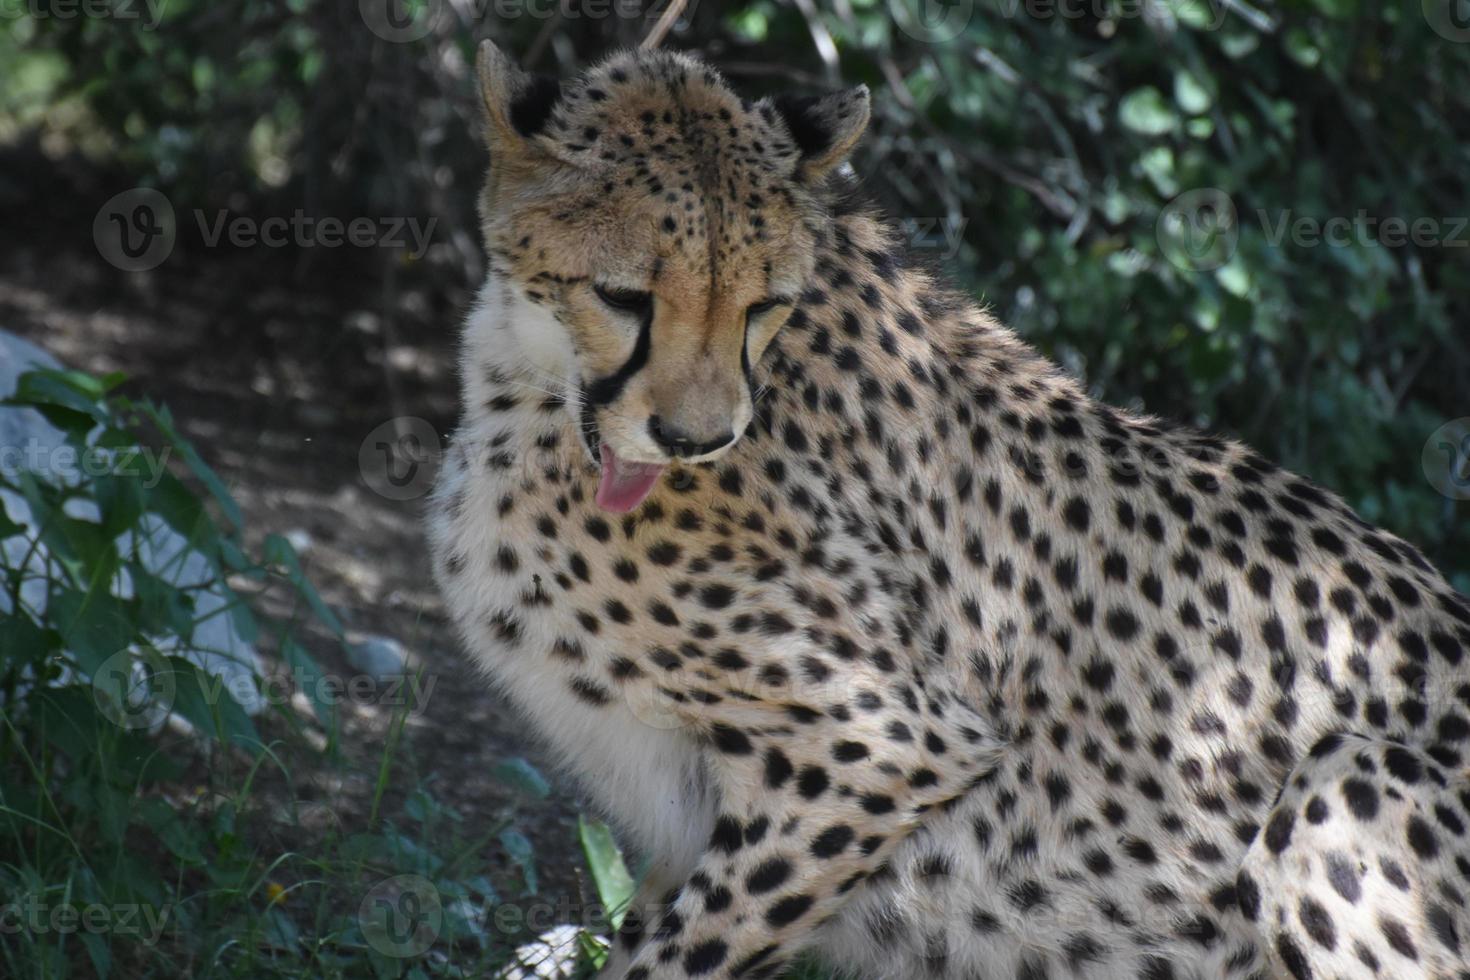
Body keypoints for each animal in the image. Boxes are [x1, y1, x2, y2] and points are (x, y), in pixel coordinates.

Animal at [429, 40, 1470, 980]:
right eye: (623, 296)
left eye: (763, 304)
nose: (696, 439)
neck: (532, 381)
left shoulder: (886, 746)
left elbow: (682, 953)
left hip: (1344, 776)